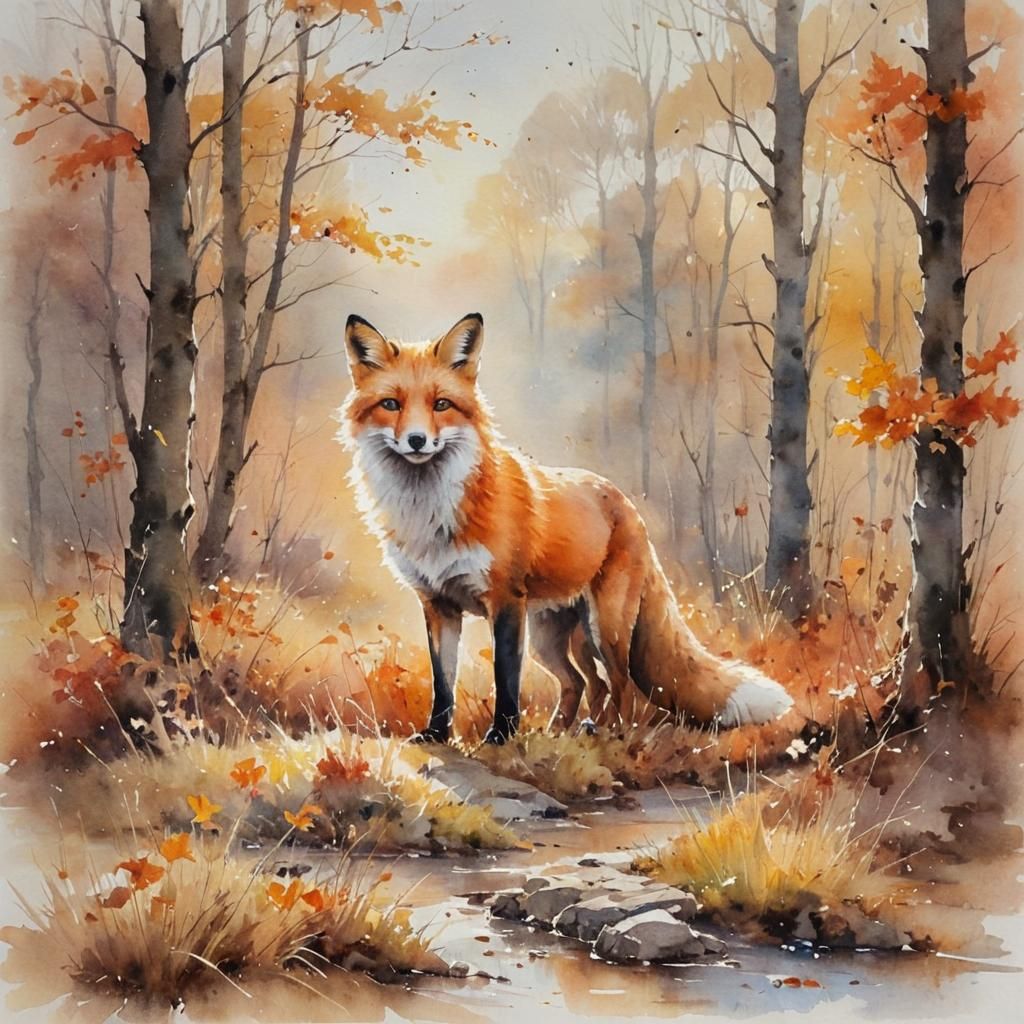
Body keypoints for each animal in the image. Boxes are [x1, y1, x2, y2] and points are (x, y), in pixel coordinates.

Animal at [341, 312, 793, 745]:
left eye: (441, 404)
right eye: (391, 404)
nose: (417, 440)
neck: (432, 513)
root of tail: (626, 503)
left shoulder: (505, 601)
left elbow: (506, 680)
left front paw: (500, 736)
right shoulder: (438, 605)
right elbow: (443, 684)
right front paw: (436, 734)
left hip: (604, 627)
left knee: (620, 684)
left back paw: (610, 733)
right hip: (553, 639)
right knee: (583, 683)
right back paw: (562, 732)